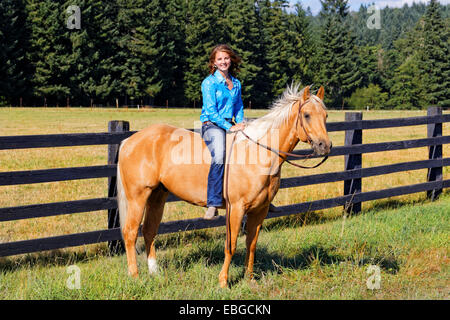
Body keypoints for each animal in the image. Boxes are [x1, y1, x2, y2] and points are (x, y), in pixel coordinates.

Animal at [118, 84, 332, 288]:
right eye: (307, 115)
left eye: (326, 115)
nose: (325, 146)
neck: (257, 153)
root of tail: (130, 140)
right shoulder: (235, 208)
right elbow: (231, 245)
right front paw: (223, 282)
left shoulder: (259, 211)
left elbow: (251, 244)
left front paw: (250, 279)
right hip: (138, 197)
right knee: (130, 232)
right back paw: (134, 275)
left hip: (157, 196)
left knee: (149, 231)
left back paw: (155, 272)